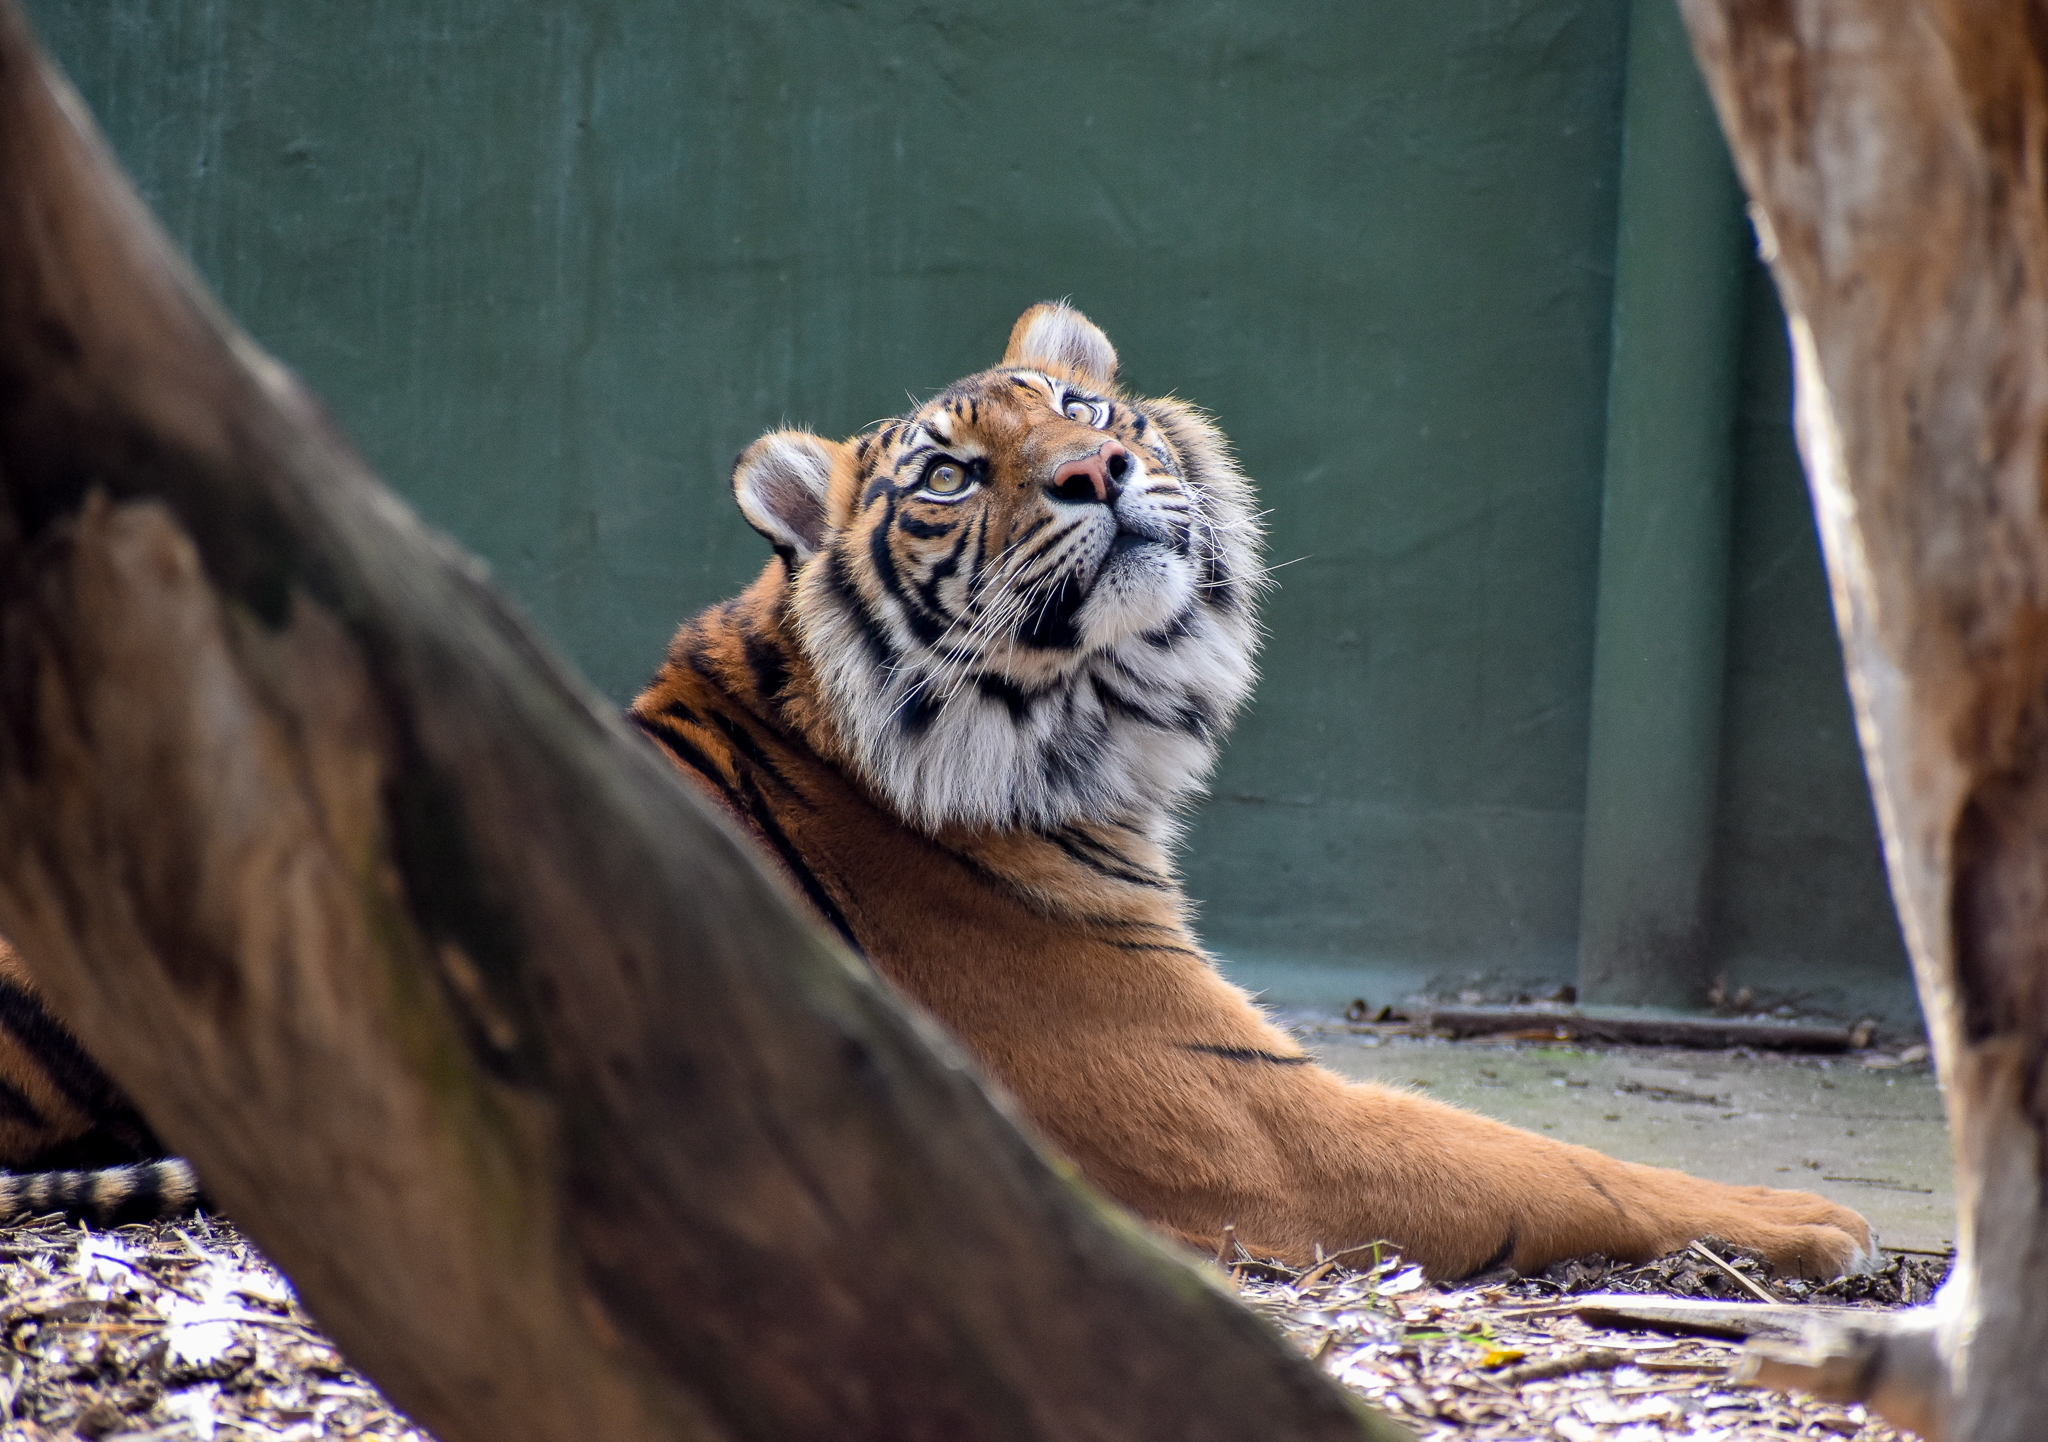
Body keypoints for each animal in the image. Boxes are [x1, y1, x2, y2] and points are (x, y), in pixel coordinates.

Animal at [628, 300, 1875, 1279]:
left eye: (1080, 409)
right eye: (947, 474)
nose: (1093, 472)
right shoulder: (1238, 1111)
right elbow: (1545, 1159)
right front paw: (1813, 1218)